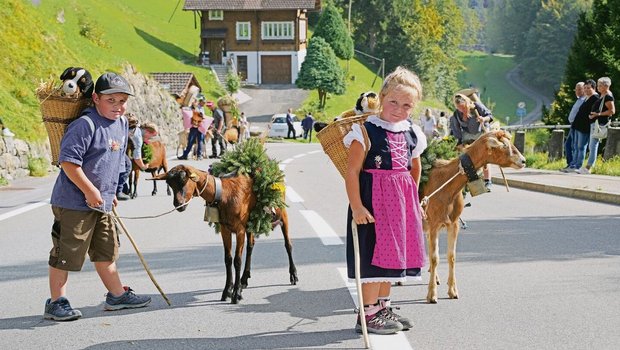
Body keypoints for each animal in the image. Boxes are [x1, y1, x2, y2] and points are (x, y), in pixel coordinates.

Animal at [150, 165, 296, 304]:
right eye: (169, 183)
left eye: (184, 179)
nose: (179, 204)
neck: (224, 193)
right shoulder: (225, 229)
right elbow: (228, 259)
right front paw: (227, 291)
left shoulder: (239, 229)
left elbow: (237, 260)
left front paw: (236, 294)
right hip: (251, 222)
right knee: (251, 245)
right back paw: (244, 279)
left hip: (281, 211)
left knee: (287, 243)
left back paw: (293, 275)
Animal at [422, 131, 524, 304]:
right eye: (503, 145)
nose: (523, 160)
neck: (445, 182)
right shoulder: (434, 222)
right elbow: (435, 257)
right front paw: (432, 295)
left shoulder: (453, 223)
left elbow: (451, 256)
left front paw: (453, 291)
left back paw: (434, 277)